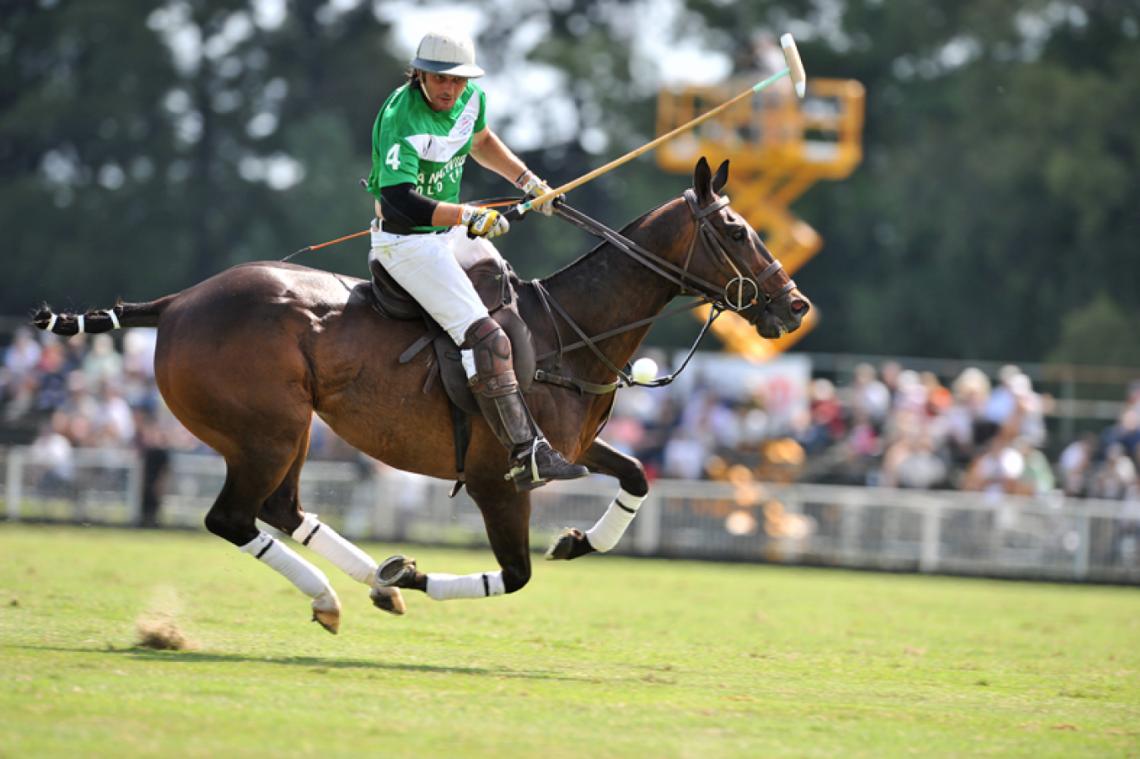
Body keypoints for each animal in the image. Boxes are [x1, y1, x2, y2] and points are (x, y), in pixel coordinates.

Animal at [33, 156, 811, 629]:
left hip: (289, 429)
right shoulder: (502, 477)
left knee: (280, 509)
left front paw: (578, 540)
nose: (795, 306)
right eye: (736, 229)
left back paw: (366, 584)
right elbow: (517, 574)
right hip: (266, 429)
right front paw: (413, 574)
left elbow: (639, 475)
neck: (572, 329)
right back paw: (348, 589)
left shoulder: (571, 449)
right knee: (232, 516)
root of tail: (178, 301)